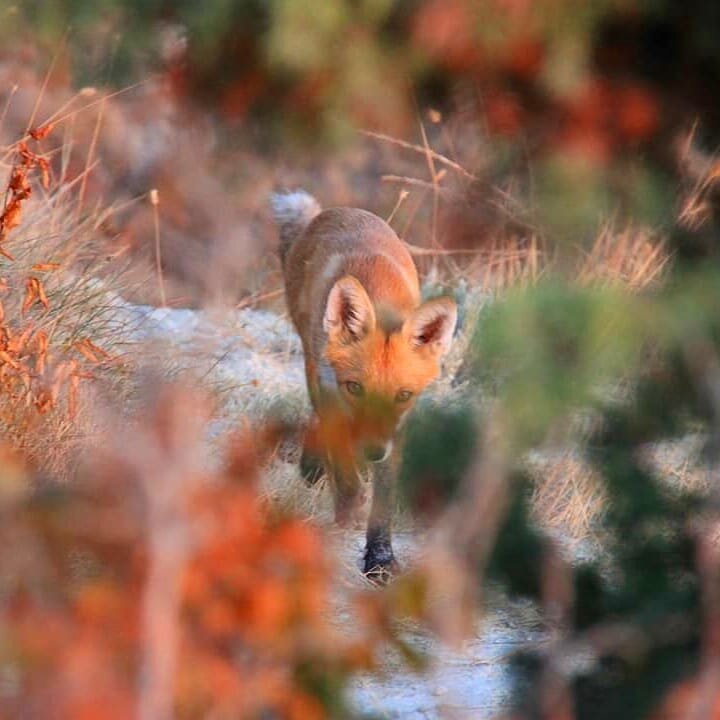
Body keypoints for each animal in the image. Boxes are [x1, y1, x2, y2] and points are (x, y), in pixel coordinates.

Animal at [270, 190, 456, 580]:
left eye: (403, 394)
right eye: (355, 387)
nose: (372, 451)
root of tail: (341, 211)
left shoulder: (397, 426)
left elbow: (384, 494)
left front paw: (380, 557)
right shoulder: (330, 389)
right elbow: (345, 470)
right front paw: (346, 512)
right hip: (311, 360)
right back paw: (315, 467)